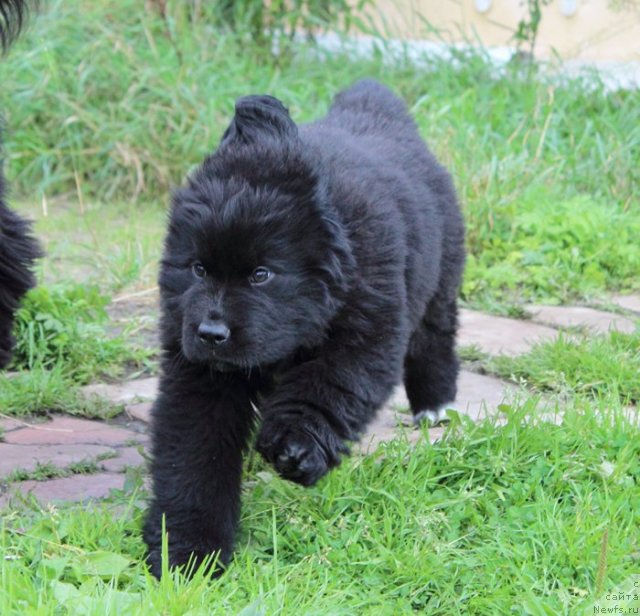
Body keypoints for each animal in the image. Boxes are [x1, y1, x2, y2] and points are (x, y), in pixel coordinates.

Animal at [145, 78, 464, 576]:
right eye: (197, 269)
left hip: (440, 282)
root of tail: (375, 108)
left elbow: (328, 387)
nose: (211, 335)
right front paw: (187, 551)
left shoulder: (365, 330)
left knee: (435, 340)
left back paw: (435, 406)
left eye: (261, 275)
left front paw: (296, 448)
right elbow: (194, 454)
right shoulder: (199, 372)